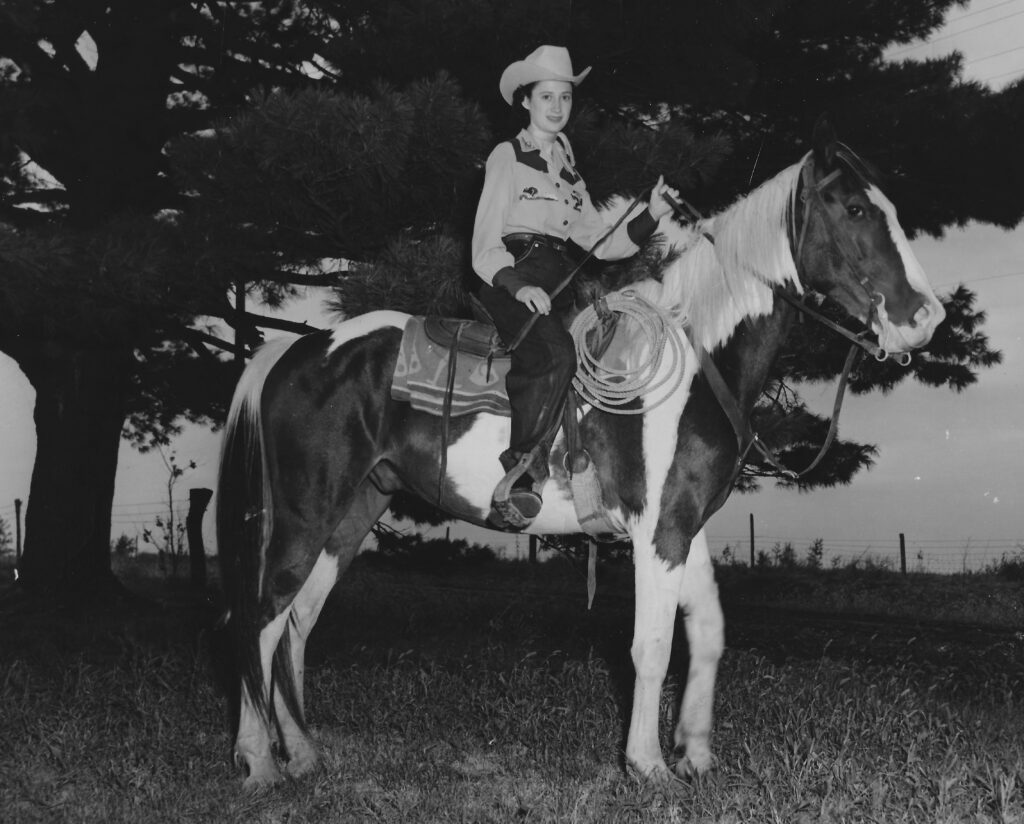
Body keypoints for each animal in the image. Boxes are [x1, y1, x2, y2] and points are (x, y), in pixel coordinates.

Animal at [216, 122, 946, 788]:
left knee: (297, 621)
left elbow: (707, 631)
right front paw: (647, 764)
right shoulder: (656, 529)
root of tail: (299, 348)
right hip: (307, 512)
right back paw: (258, 763)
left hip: (354, 511)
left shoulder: (684, 524)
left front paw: (695, 753)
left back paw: (303, 755)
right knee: (262, 617)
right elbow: (651, 646)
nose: (926, 317)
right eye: (855, 209)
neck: (690, 362)